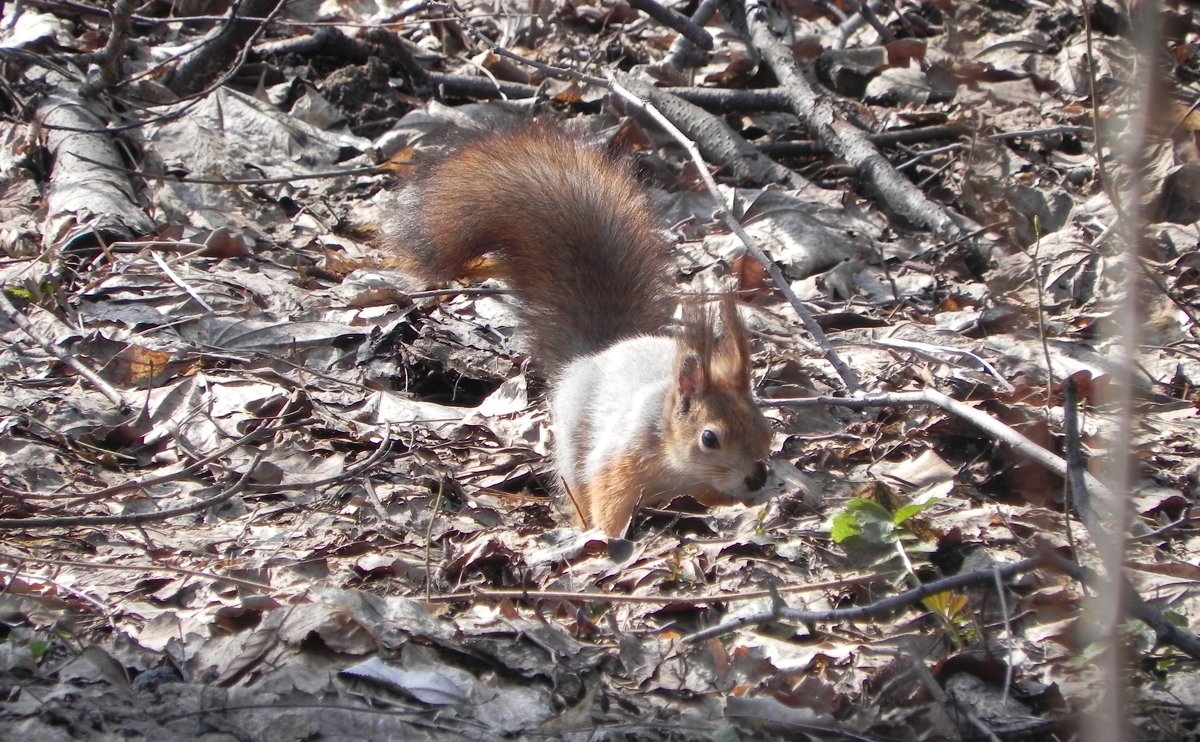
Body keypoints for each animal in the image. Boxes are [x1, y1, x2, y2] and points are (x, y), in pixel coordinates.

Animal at [386, 124, 777, 535]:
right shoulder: (619, 460)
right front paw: (605, 535)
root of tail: (597, 353)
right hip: (573, 450)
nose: (758, 478)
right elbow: (607, 499)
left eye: (766, 427)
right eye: (709, 438)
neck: (678, 467)